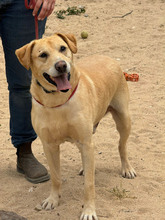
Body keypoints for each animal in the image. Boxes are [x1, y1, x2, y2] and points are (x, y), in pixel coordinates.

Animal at [15, 32, 137, 220]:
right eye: (43, 55)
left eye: (62, 48)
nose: (61, 65)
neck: (57, 100)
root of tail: (108, 58)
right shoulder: (49, 146)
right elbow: (55, 177)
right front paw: (53, 200)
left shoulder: (86, 142)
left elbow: (89, 184)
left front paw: (89, 211)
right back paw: (85, 168)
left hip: (123, 119)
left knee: (121, 146)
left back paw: (127, 168)